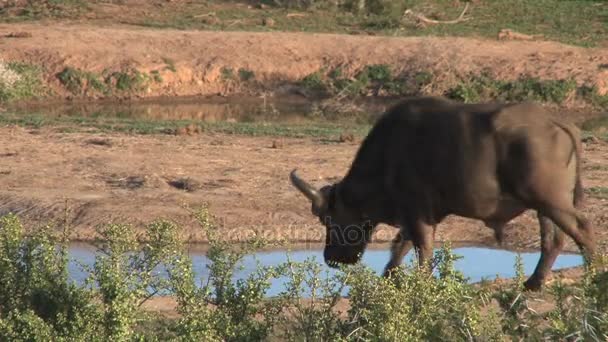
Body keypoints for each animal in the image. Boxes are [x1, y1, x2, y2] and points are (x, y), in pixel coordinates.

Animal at [290, 95, 592, 290]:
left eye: (328, 219)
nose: (330, 259)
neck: (388, 154)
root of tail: (556, 122)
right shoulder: (411, 214)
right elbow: (399, 247)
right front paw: (389, 278)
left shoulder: (417, 213)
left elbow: (421, 248)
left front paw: (421, 284)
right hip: (544, 206)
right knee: (553, 240)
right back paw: (534, 282)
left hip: (550, 200)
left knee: (582, 227)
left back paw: (593, 270)